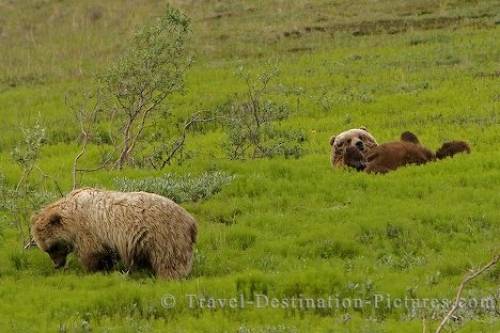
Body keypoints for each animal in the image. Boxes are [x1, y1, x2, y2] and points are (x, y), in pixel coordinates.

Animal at [29, 188, 199, 278]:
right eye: (46, 250)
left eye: (52, 247)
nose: (57, 265)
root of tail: (191, 220)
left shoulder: (88, 231)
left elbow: (92, 254)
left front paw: (93, 270)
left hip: (165, 236)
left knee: (170, 261)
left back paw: (169, 276)